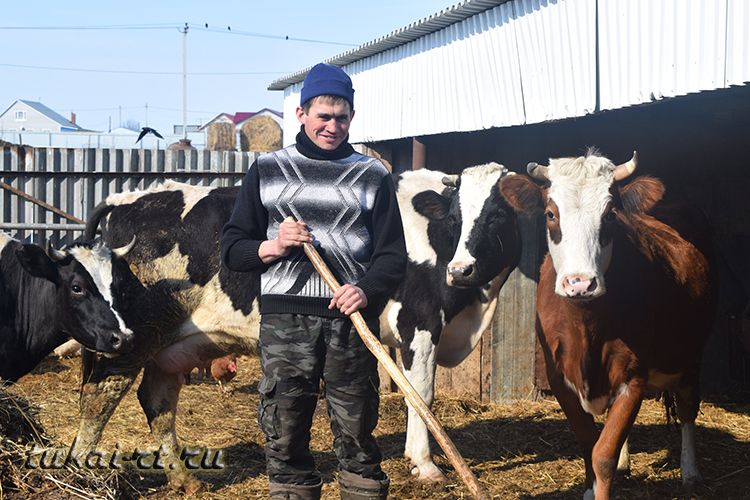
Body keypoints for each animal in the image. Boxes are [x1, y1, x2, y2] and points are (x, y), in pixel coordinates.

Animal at [70, 163, 524, 488]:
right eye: (458, 215)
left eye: (498, 215)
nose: (461, 269)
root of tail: (128, 198)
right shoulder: (421, 322)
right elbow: (422, 396)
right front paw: (426, 465)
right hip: (130, 339)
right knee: (98, 397)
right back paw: (81, 470)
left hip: (173, 345)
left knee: (157, 401)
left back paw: (186, 480)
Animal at [502, 149, 720, 500]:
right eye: (550, 214)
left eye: (610, 215)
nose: (580, 283)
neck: (585, 329)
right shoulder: (559, 379)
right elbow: (589, 443)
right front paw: (591, 488)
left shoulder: (633, 378)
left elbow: (603, 454)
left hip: (692, 354)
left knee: (688, 408)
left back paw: (690, 471)